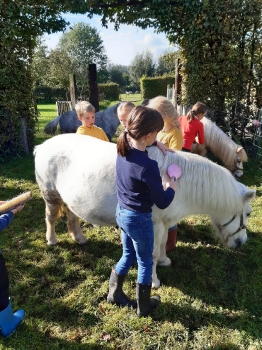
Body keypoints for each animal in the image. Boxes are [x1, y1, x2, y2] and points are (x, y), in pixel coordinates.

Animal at [34, 134, 256, 288]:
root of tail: (41, 146)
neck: (180, 185)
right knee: (50, 218)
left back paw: (79, 238)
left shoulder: (164, 223)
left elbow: (162, 246)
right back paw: (51, 240)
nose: (242, 242)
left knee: (71, 216)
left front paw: (165, 261)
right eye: (248, 214)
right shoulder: (154, 225)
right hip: (50, 195)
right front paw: (154, 281)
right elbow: (151, 254)